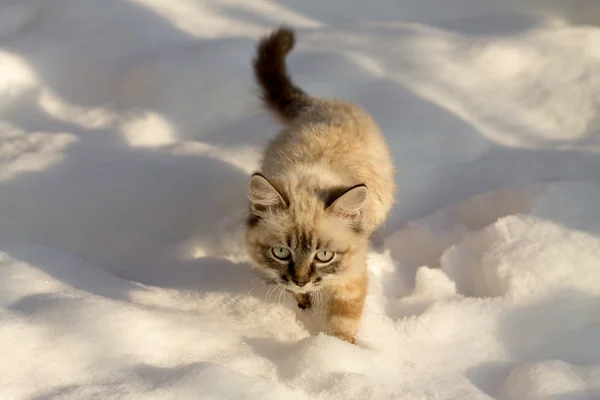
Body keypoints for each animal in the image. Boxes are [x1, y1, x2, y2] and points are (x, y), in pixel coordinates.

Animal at [244, 25, 394, 344]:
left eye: (324, 256)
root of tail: (319, 104)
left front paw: (334, 351)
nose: (301, 280)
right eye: (281, 252)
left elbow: (342, 324)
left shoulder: (351, 276)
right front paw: (303, 304)